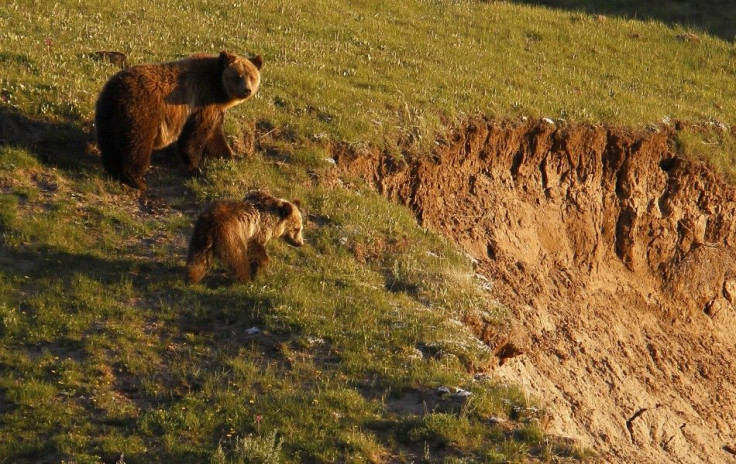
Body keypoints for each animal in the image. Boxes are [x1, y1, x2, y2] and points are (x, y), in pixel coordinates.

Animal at [94, 50, 262, 188]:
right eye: (238, 76)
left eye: (252, 77)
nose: (246, 90)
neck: (218, 88)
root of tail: (115, 93)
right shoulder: (201, 102)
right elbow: (194, 138)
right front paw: (195, 168)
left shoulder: (214, 109)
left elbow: (214, 136)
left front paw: (228, 156)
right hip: (141, 112)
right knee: (138, 144)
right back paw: (136, 179)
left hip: (106, 114)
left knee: (109, 145)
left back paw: (114, 171)